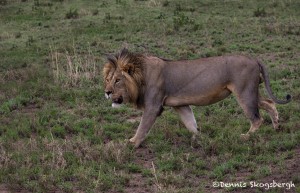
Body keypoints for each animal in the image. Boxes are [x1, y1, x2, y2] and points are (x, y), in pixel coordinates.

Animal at [103, 48, 290, 148]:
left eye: (118, 80)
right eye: (108, 79)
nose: (107, 92)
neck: (141, 77)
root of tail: (254, 59)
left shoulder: (153, 106)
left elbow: (142, 126)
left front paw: (132, 142)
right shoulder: (180, 105)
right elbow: (190, 122)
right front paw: (199, 138)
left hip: (244, 93)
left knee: (257, 118)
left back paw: (246, 136)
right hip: (250, 92)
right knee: (269, 103)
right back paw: (276, 126)